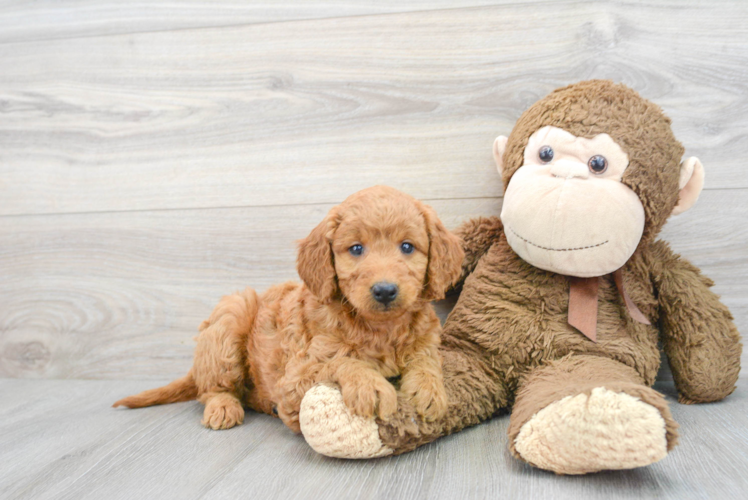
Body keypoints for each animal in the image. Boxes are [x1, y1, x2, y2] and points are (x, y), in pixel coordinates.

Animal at [112, 186, 462, 432]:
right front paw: (370, 385)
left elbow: (426, 360)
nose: (385, 290)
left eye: (407, 247)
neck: (380, 328)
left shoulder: (427, 341)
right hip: (231, 315)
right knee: (211, 389)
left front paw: (429, 390)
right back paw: (223, 407)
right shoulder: (297, 376)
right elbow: (340, 361)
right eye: (356, 249)